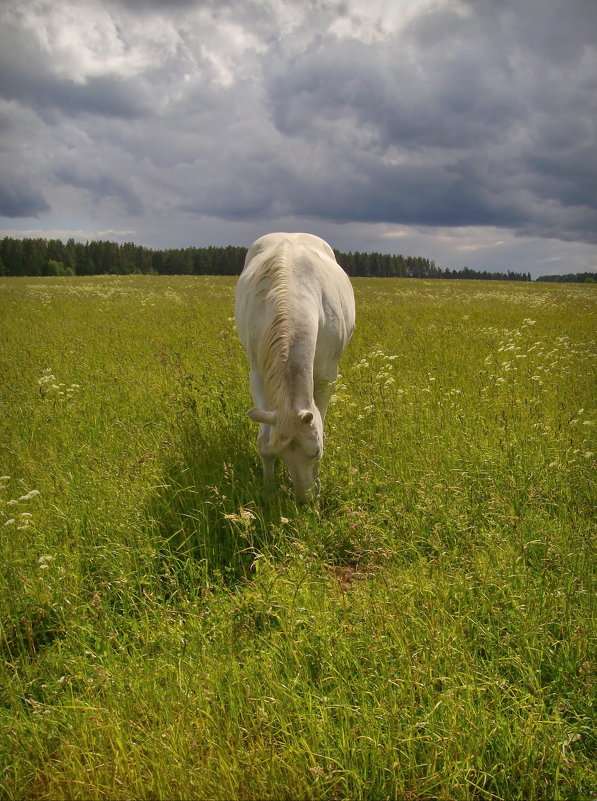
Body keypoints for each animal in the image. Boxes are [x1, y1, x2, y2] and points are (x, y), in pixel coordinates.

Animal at [233, 230, 354, 500]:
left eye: (316, 453)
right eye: (282, 454)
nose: (304, 498)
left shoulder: (326, 376)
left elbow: (321, 419)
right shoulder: (257, 374)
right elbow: (264, 440)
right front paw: (268, 489)